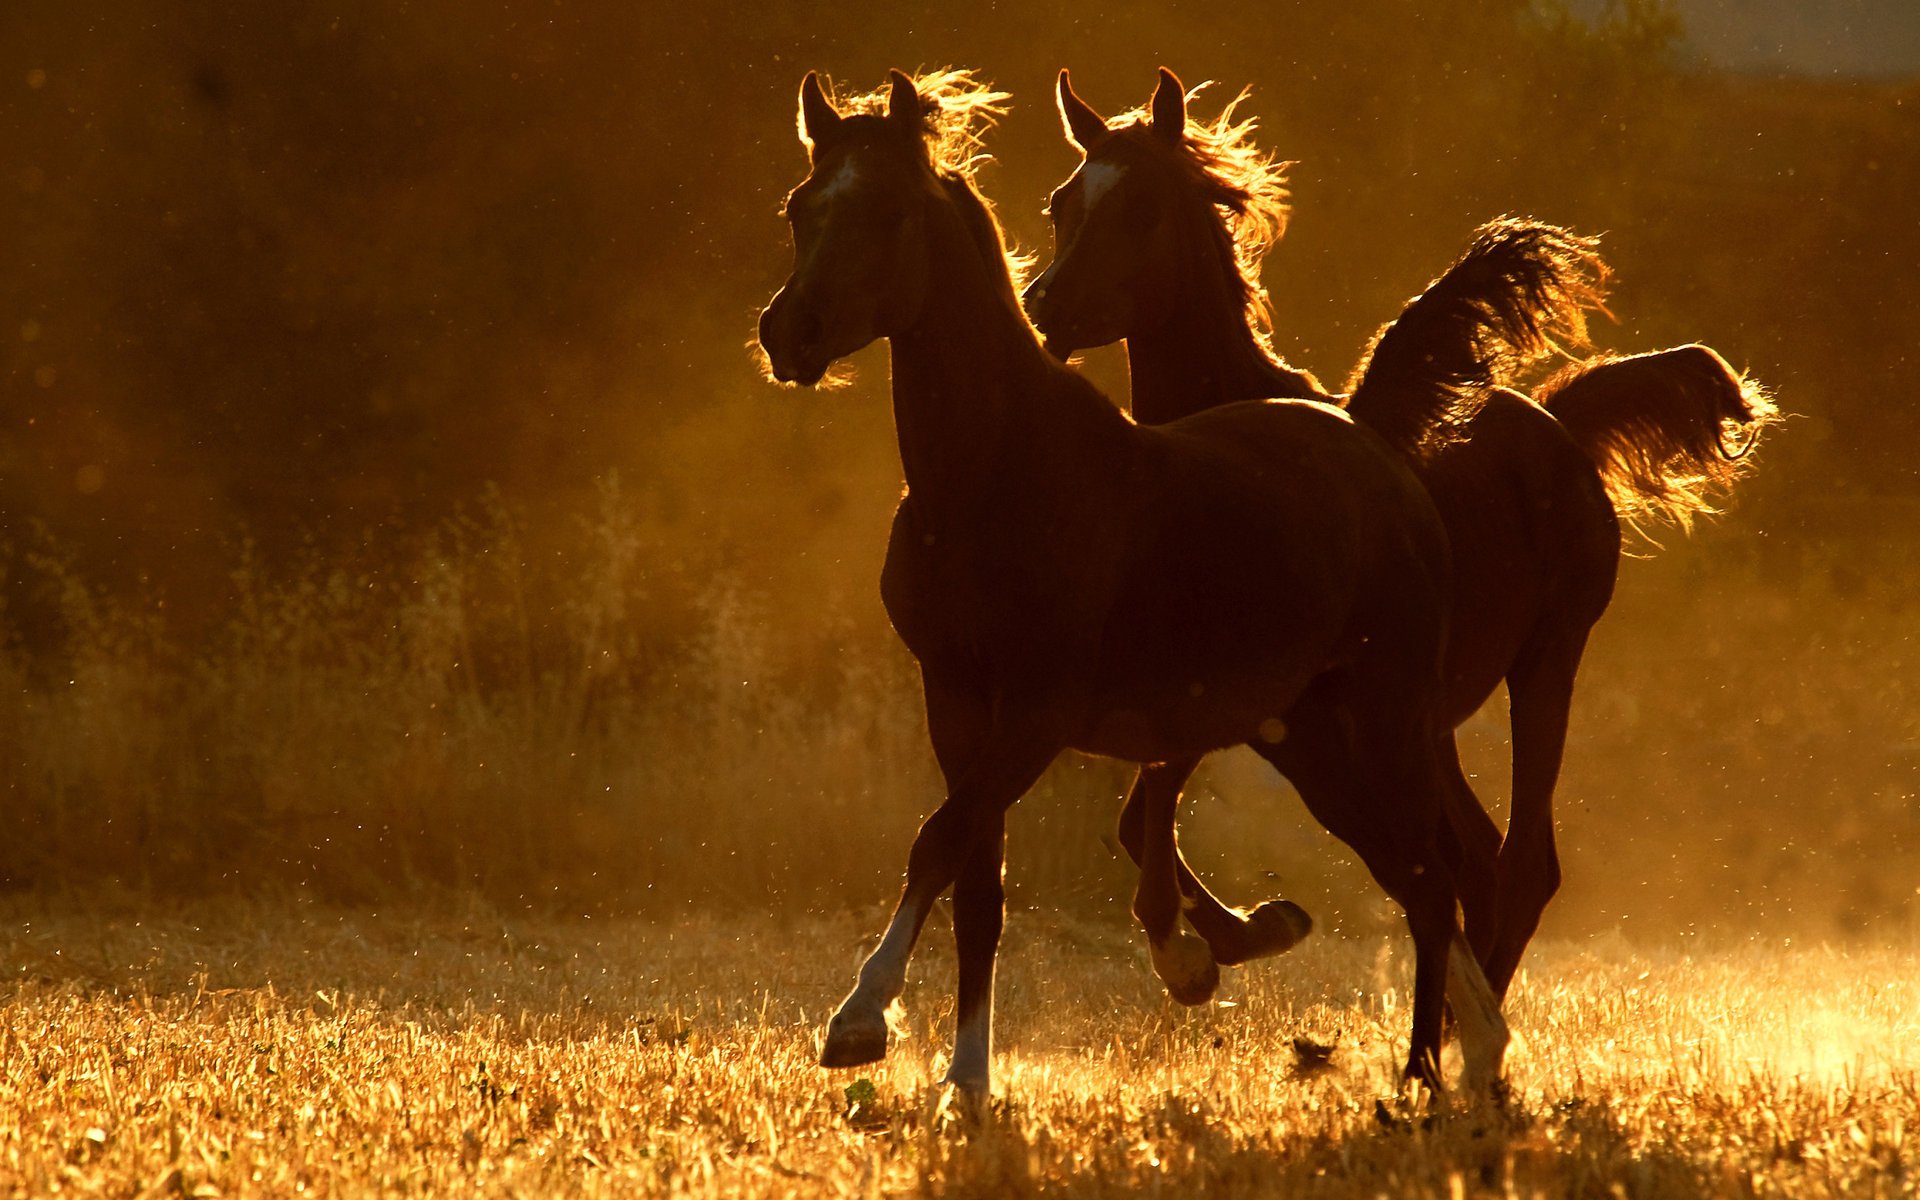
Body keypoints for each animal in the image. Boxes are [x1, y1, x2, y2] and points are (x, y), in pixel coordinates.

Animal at [756, 69, 1509, 1100]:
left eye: (890, 210)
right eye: (803, 207)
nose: (788, 333)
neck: (994, 477)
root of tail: (1383, 457)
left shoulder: (1039, 710)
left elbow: (938, 842)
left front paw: (859, 1021)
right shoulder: (957, 702)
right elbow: (977, 885)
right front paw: (966, 1081)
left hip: (1385, 716)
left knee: (1432, 876)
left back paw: (1429, 1076)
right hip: (1311, 737)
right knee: (1416, 872)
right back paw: (1472, 1056)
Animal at [1023, 67, 1779, 1004]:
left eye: (1142, 208)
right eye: (1062, 202)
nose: (1043, 306)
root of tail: (1556, 419)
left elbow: (1148, 807)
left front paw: (1197, 954)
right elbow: (1139, 817)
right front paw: (1246, 933)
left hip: (1545, 664)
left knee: (1521, 866)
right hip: (1428, 724)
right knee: (1477, 863)